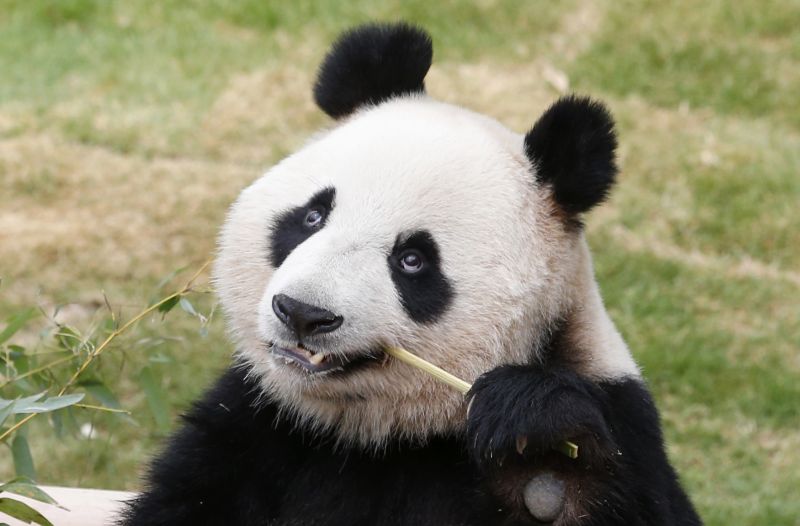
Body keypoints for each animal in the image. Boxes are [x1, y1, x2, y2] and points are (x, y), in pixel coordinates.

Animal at [121, 23, 702, 526]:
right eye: (312, 216)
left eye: (413, 260)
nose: (303, 313)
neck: (378, 435)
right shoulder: (252, 426)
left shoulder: (621, 414)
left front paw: (542, 453)